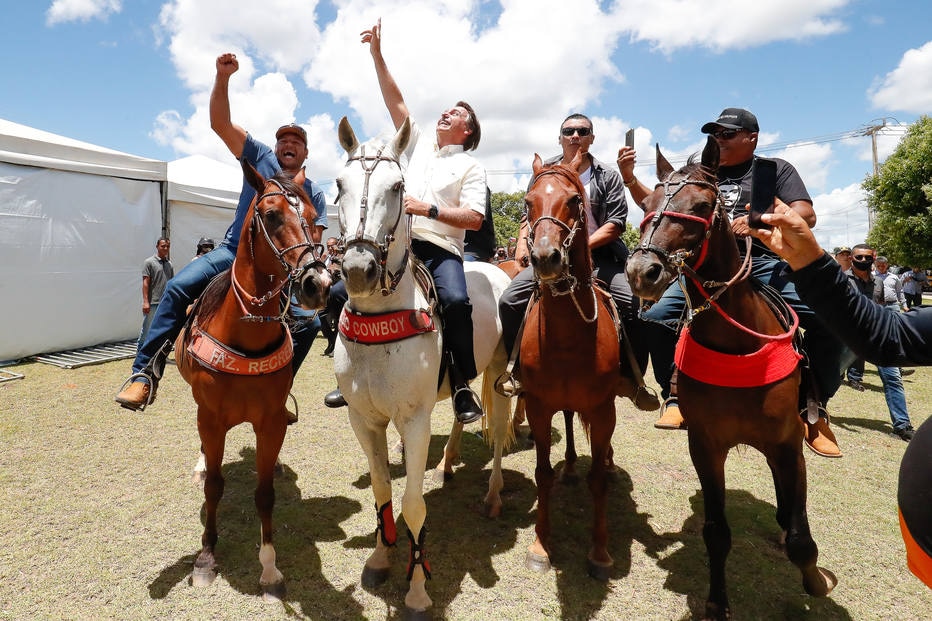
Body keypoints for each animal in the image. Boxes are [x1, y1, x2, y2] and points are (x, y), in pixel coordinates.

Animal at [173, 161, 330, 600]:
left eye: (316, 220)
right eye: (272, 215)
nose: (317, 284)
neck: (243, 335)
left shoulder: (269, 421)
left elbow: (264, 495)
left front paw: (270, 568)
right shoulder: (210, 417)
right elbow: (214, 485)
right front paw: (206, 558)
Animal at [332, 117, 512, 616]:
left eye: (398, 187)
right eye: (338, 184)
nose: (358, 269)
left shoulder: (413, 420)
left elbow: (413, 504)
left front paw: (416, 589)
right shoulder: (364, 420)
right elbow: (381, 490)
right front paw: (379, 557)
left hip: (499, 370)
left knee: (499, 424)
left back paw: (493, 495)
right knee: (460, 410)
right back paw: (448, 462)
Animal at [628, 138, 836, 616]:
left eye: (704, 206)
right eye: (645, 204)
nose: (642, 272)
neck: (737, 344)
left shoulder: (786, 444)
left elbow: (801, 539)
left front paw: (815, 582)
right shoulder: (706, 445)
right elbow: (716, 533)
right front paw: (716, 603)